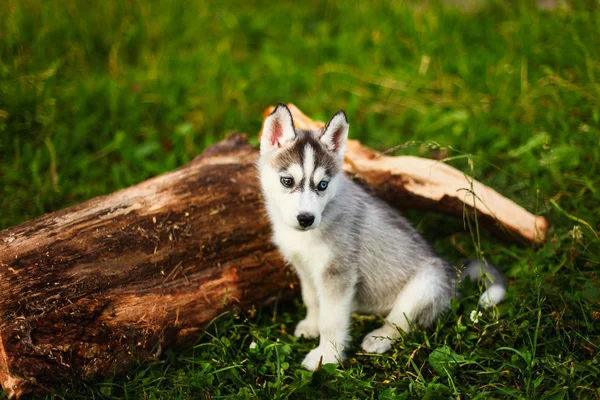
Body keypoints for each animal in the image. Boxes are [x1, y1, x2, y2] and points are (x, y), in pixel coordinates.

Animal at [258, 104, 506, 370]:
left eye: (322, 185)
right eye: (287, 181)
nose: (306, 219)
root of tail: (453, 275)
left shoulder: (338, 273)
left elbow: (331, 320)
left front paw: (326, 356)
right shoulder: (305, 268)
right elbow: (313, 300)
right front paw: (311, 326)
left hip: (424, 285)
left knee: (401, 322)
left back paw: (379, 338)